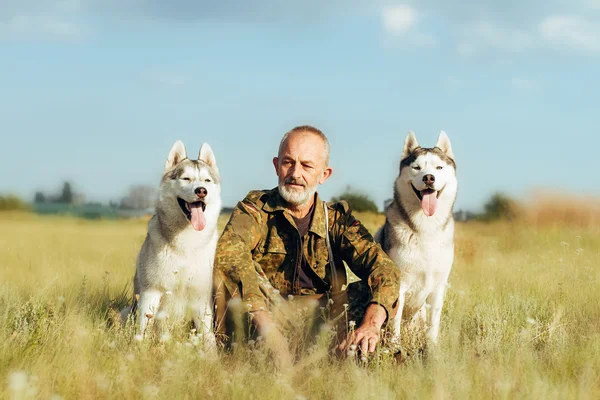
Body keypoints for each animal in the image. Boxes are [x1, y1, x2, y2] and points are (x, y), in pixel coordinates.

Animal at [122, 141, 223, 344]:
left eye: (207, 181)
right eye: (186, 179)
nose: (201, 191)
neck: (187, 243)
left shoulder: (201, 296)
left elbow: (208, 336)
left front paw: (211, 352)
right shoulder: (151, 292)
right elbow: (143, 330)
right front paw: (139, 350)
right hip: (127, 310)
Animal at [378, 131, 458, 344]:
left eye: (439, 167)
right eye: (416, 167)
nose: (429, 178)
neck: (425, 228)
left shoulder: (439, 286)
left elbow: (433, 323)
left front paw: (432, 347)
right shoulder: (399, 285)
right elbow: (395, 322)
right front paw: (394, 347)